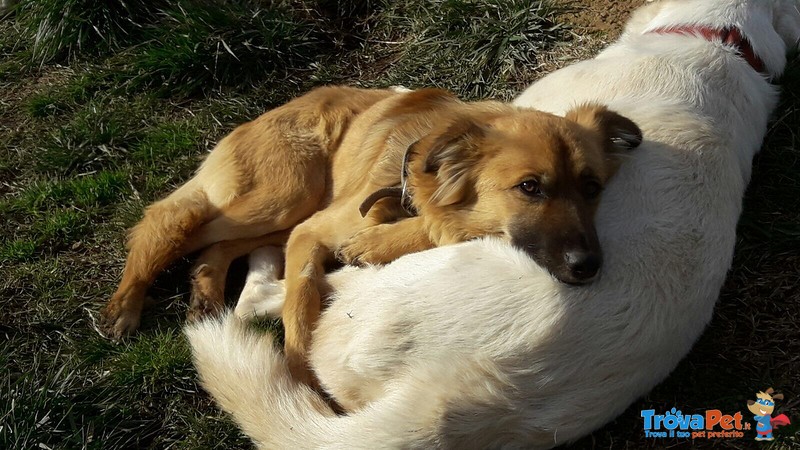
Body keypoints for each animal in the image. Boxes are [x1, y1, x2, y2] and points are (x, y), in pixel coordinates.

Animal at [100, 88, 640, 386]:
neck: (414, 177)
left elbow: (428, 228)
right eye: (530, 187)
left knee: (214, 244)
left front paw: (378, 244)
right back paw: (126, 304)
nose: (588, 267)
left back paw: (205, 293)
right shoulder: (310, 233)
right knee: (168, 221)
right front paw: (301, 383)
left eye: (592, 188)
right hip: (288, 196)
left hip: (286, 212)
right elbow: (301, 307)